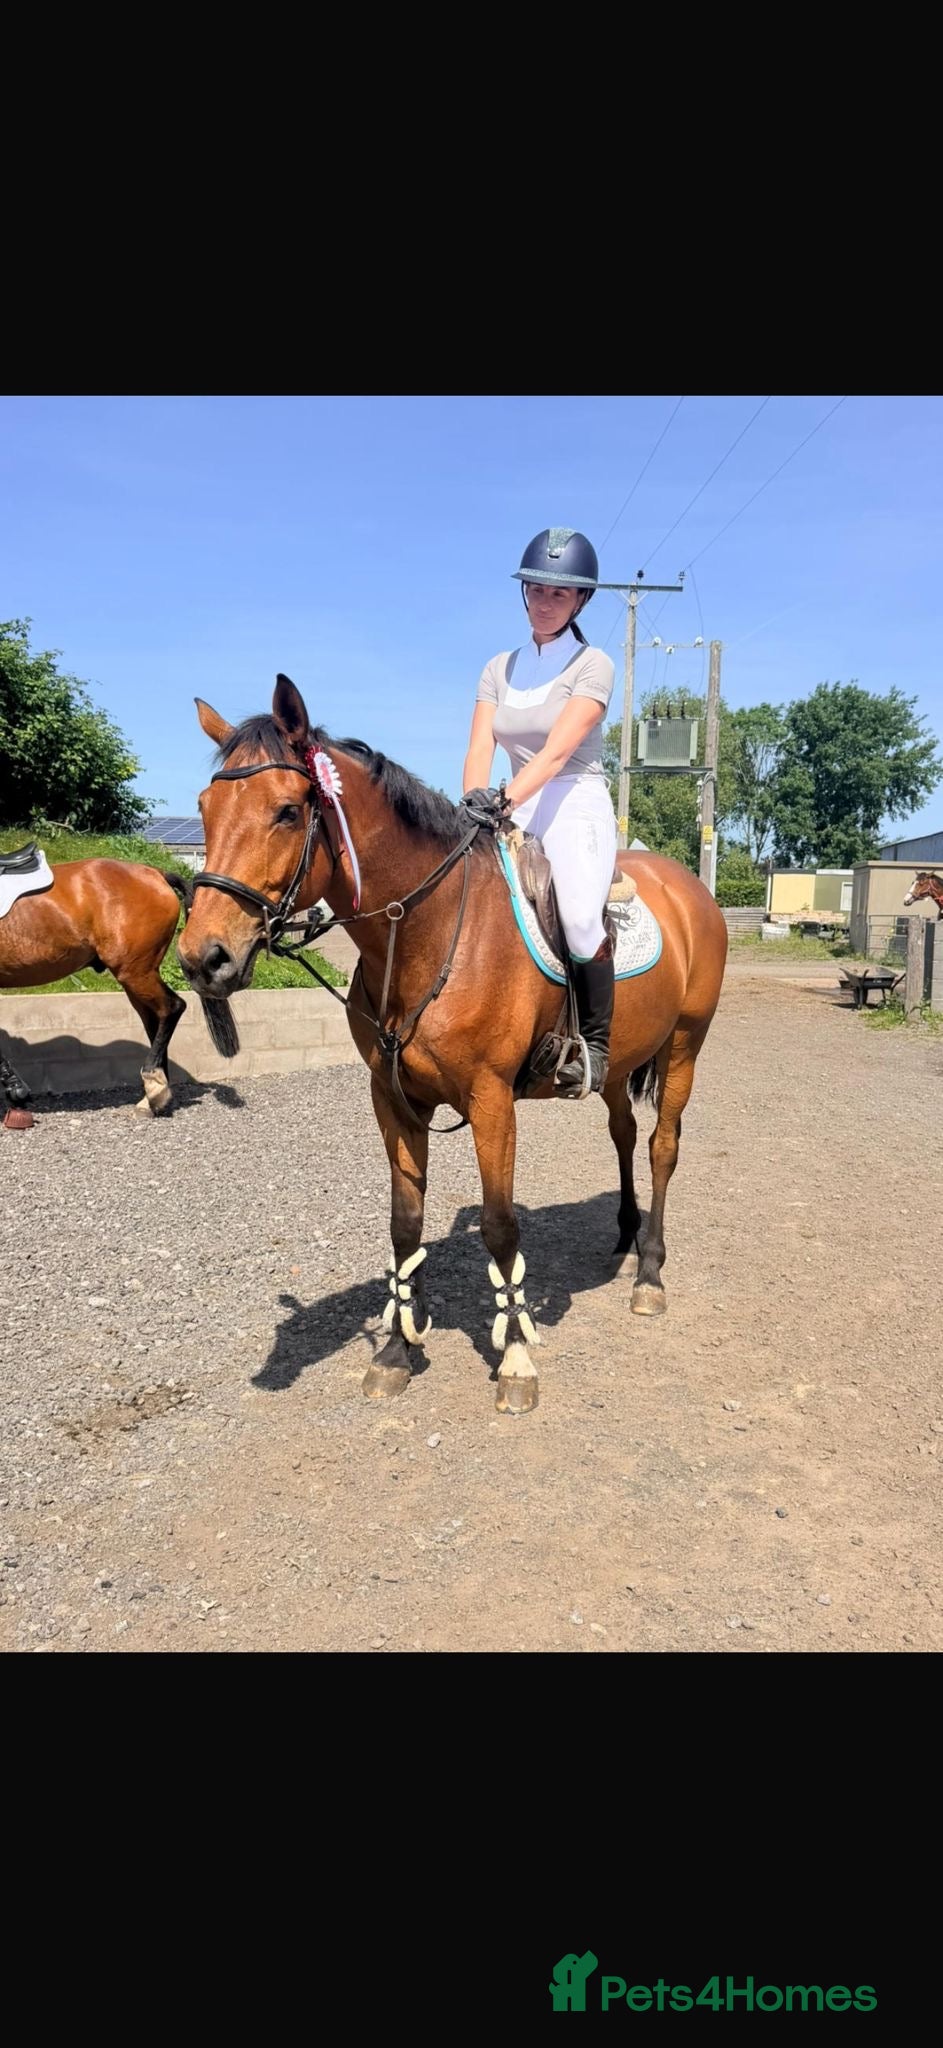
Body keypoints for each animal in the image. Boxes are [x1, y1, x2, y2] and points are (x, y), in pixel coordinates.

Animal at [0, 850, 238, 1127]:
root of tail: (156, 873)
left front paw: (16, 1091)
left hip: (134, 972)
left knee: (172, 1007)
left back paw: (155, 1089)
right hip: (137, 977)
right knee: (156, 1020)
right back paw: (154, 1096)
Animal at [178, 675, 728, 1414]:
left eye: (288, 812)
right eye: (205, 810)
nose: (202, 958)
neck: (431, 932)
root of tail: (686, 883)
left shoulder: (491, 1099)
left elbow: (499, 1225)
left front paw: (516, 1357)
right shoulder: (394, 1098)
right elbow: (404, 1224)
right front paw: (394, 1350)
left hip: (684, 1045)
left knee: (662, 1146)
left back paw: (649, 1272)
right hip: (616, 1065)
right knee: (622, 1131)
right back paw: (622, 1235)